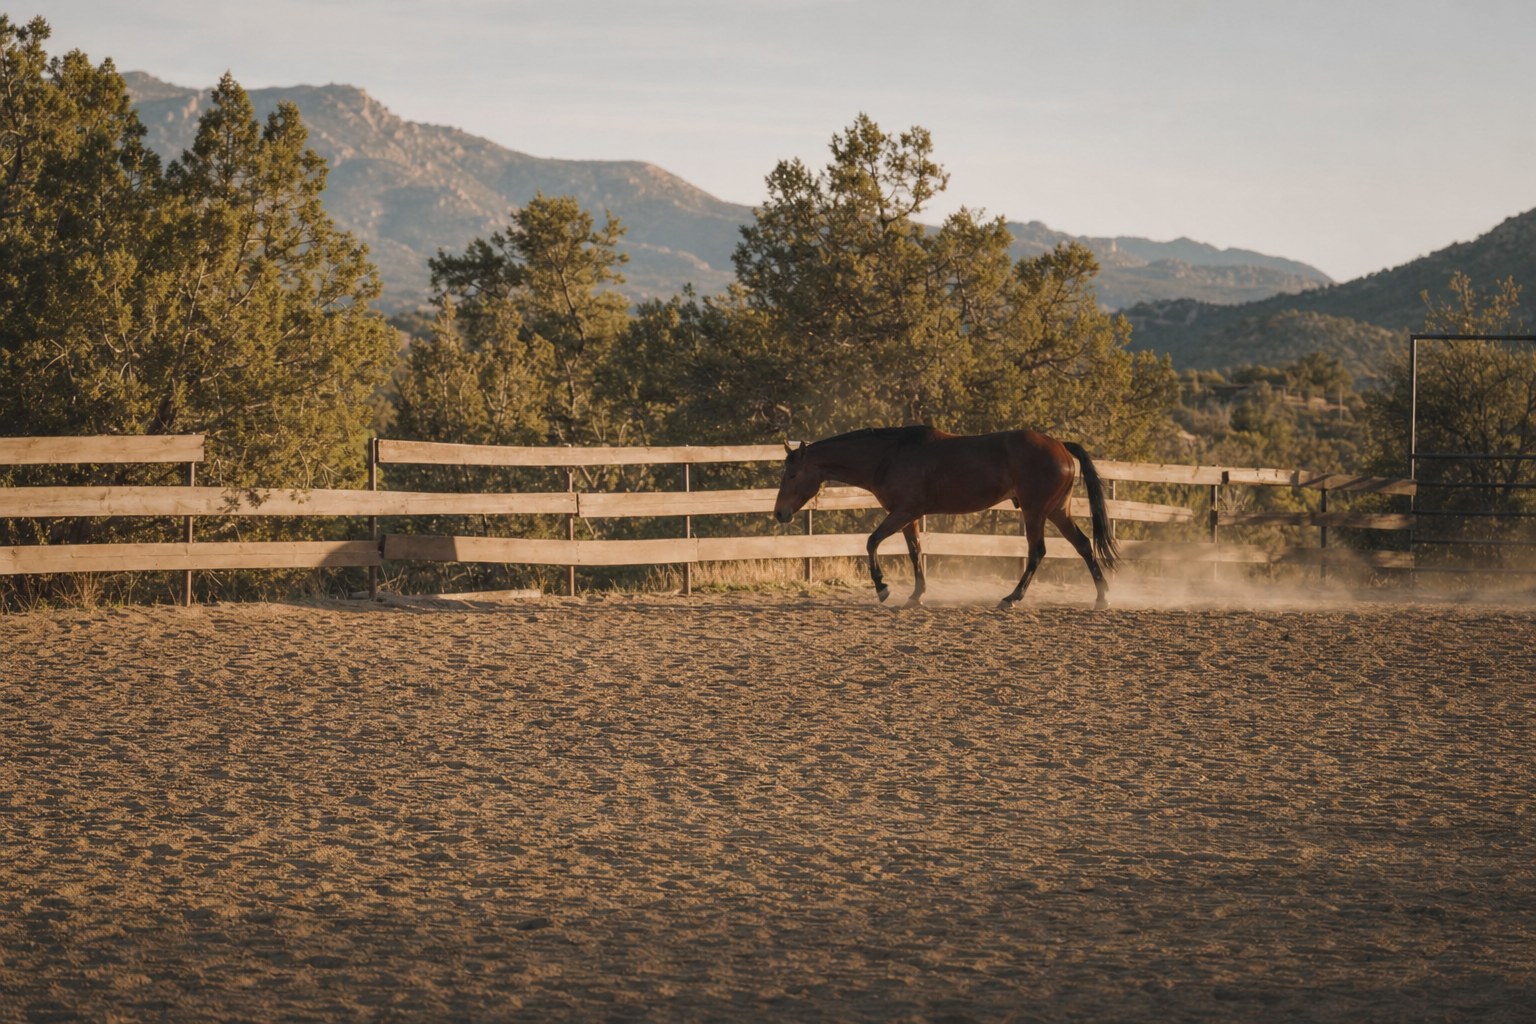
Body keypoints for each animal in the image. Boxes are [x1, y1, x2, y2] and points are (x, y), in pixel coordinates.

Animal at [772, 425, 1120, 609]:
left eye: (792, 474)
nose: (779, 513)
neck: (889, 456)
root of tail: (1060, 445)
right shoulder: (909, 517)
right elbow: (915, 552)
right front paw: (916, 595)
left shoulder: (903, 512)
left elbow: (871, 542)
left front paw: (882, 587)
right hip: (1057, 512)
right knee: (1083, 545)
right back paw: (1102, 596)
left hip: (1035, 513)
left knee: (1037, 552)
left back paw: (1011, 597)